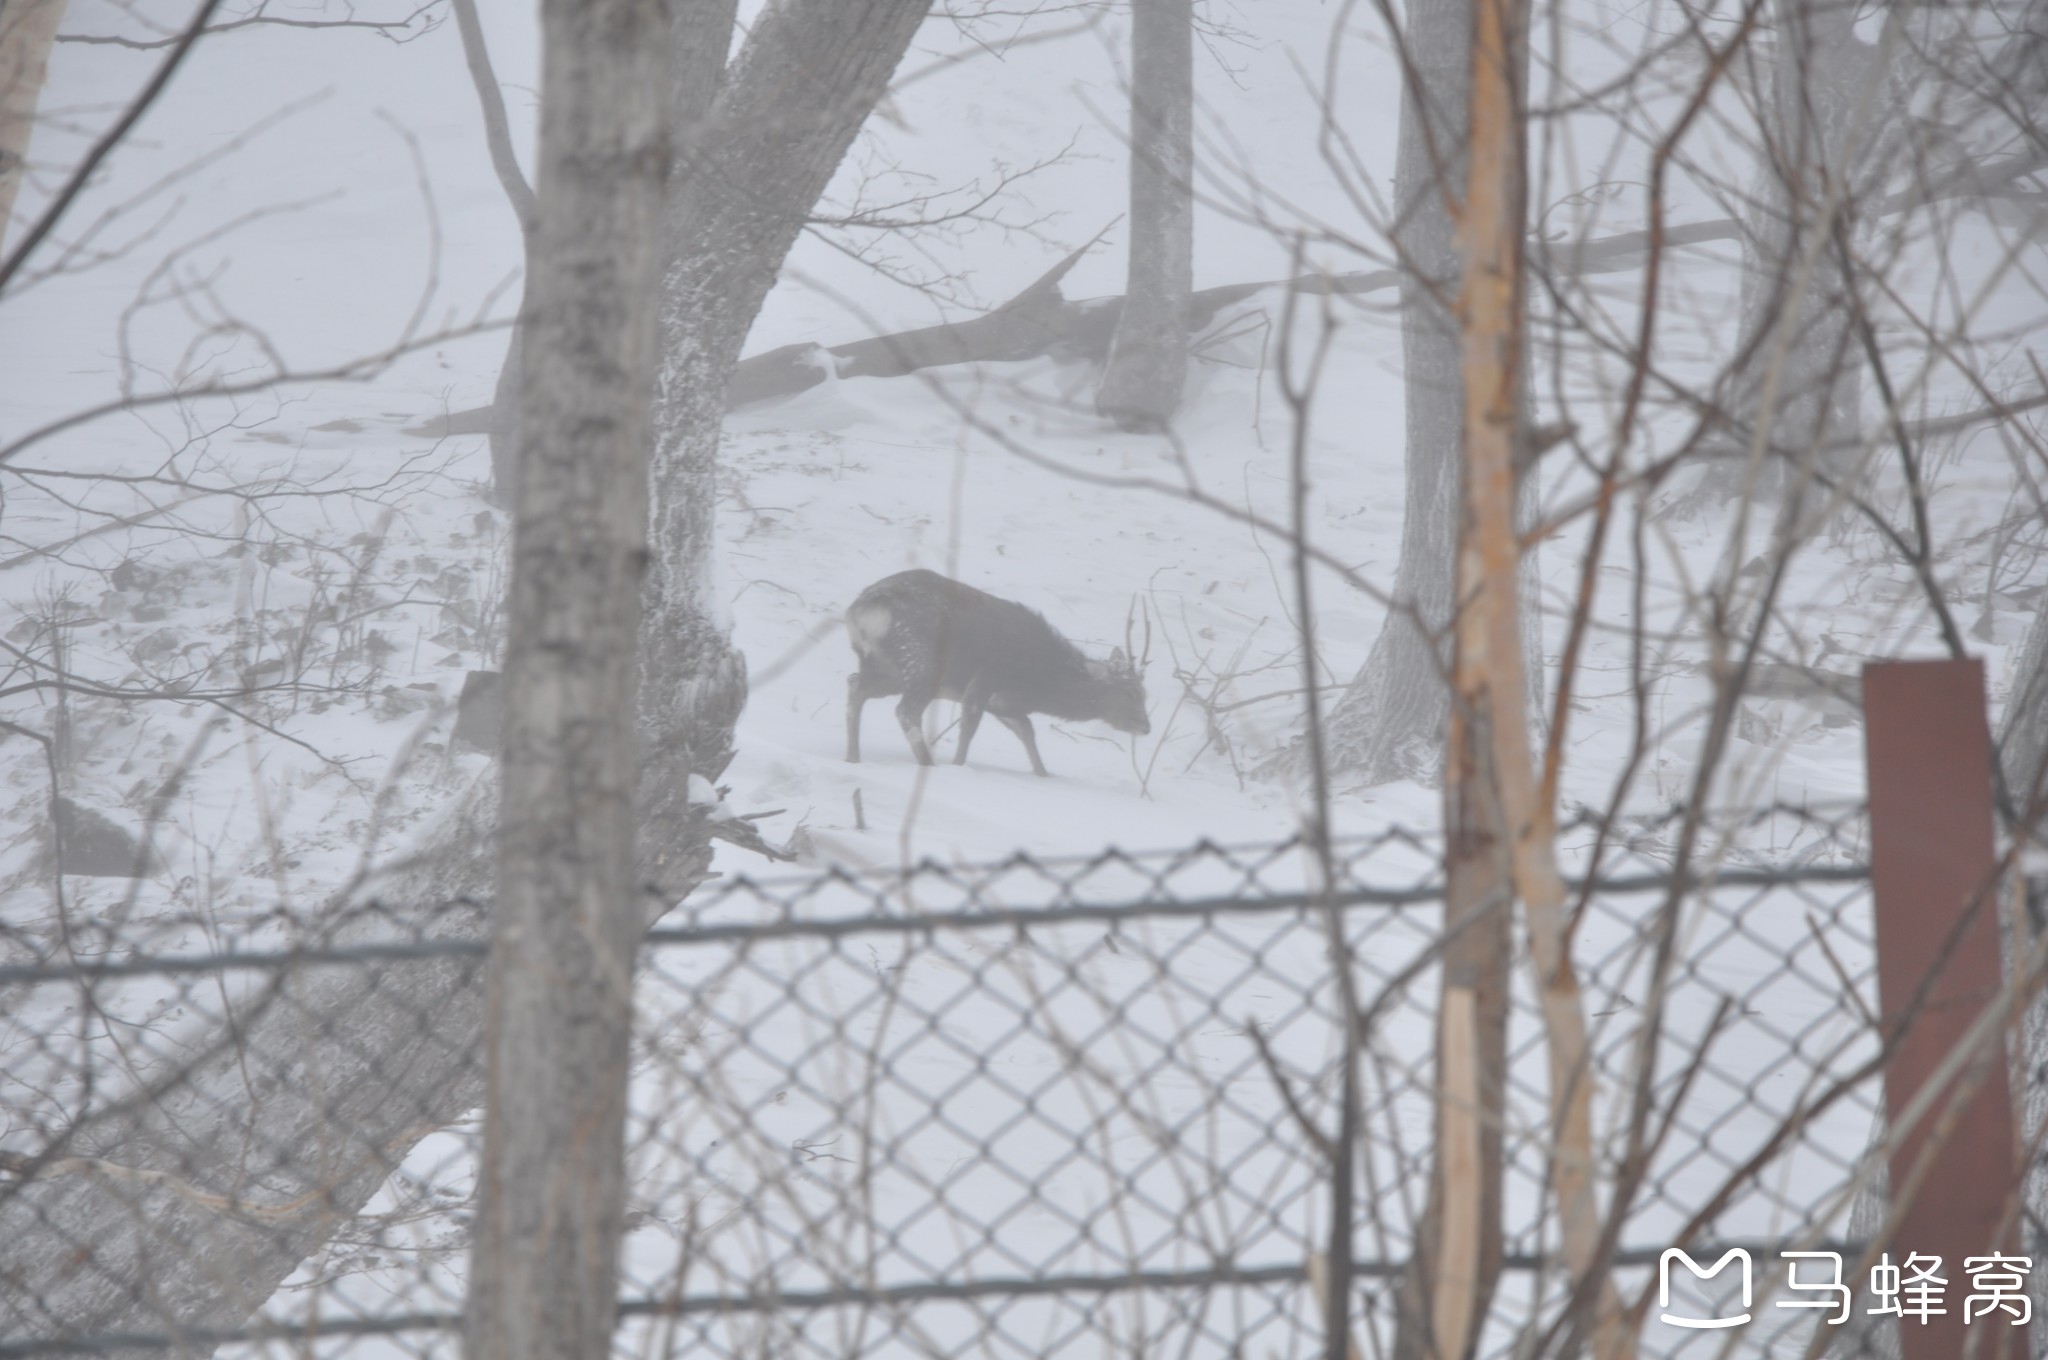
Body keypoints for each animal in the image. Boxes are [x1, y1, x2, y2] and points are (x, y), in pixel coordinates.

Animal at [835, 565, 1155, 774]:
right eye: (1130, 692)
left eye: (1145, 693)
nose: (1146, 726)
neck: (1039, 682)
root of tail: (866, 607)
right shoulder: (985, 679)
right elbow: (969, 730)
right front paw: (957, 766)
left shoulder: (1003, 703)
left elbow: (1027, 732)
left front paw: (1043, 774)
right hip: (921, 660)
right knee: (906, 711)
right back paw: (928, 764)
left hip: (886, 668)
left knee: (855, 684)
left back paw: (852, 757)